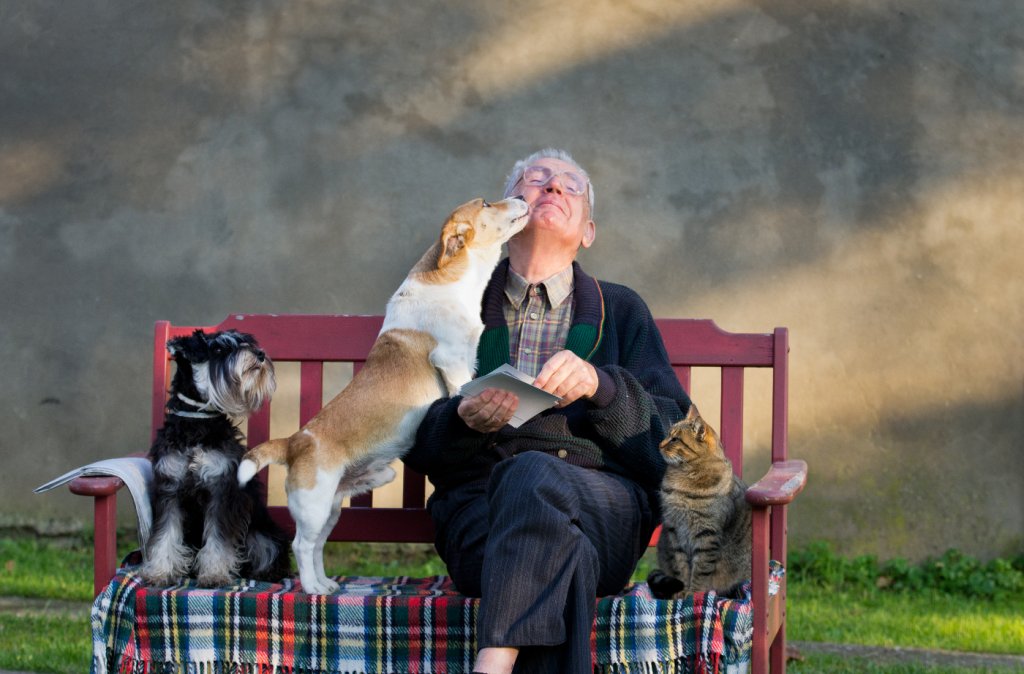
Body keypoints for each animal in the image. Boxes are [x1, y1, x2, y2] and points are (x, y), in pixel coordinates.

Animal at [138, 327, 290, 585]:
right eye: (218, 349)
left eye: (246, 342)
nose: (259, 354)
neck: (196, 424)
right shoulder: (169, 489)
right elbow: (165, 534)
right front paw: (160, 572)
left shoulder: (221, 490)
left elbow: (219, 539)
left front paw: (214, 574)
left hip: (262, 533)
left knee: (269, 550)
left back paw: (266, 572)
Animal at [236, 195, 528, 594]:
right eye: (486, 202)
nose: (524, 197)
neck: (453, 282)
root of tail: (293, 442)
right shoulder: (452, 362)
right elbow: (459, 393)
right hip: (313, 506)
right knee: (301, 545)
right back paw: (312, 588)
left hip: (332, 508)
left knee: (318, 546)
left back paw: (326, 584)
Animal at [647, 403, 753, 598]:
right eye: (668, 435)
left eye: (675, 439)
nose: (659, 444)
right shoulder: (675, 530)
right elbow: (681, 566)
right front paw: (682, 591)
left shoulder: (706, 535)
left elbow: (700, 570)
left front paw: (693, 593)